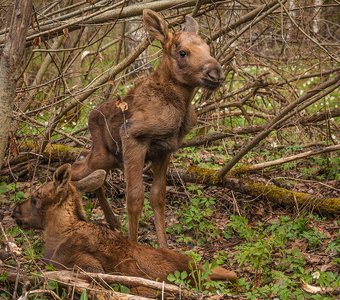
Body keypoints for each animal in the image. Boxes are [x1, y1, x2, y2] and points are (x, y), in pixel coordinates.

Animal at [71, 9, 223, 248]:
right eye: (182, 52)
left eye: (208, 49)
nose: (215, 74)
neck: (180, 106)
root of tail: (91, 115)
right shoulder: (134, 139)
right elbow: (134, 199)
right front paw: (133, 248)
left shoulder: (165, 150)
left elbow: (157, 197)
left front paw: (164, 247)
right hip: (104, 154)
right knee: (73, 168)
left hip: (111, 158)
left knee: (86, 168)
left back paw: (111, 220)